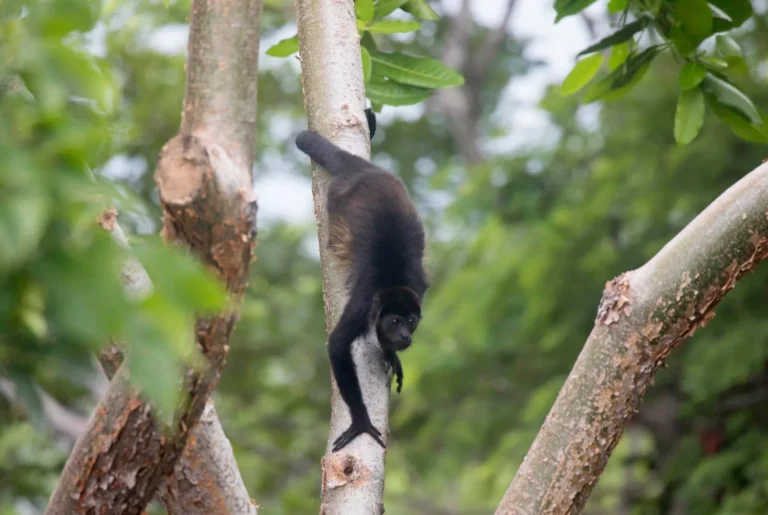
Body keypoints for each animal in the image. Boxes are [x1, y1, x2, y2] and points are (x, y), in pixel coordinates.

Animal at [295, 115, 428, 452]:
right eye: (394, 321)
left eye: (410, 320)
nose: (404, 335)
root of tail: (361, 170)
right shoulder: (363, 304)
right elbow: (337, 345)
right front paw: (361, 422)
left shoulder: (420, 292)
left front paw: (391, 353)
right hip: (338, 199)